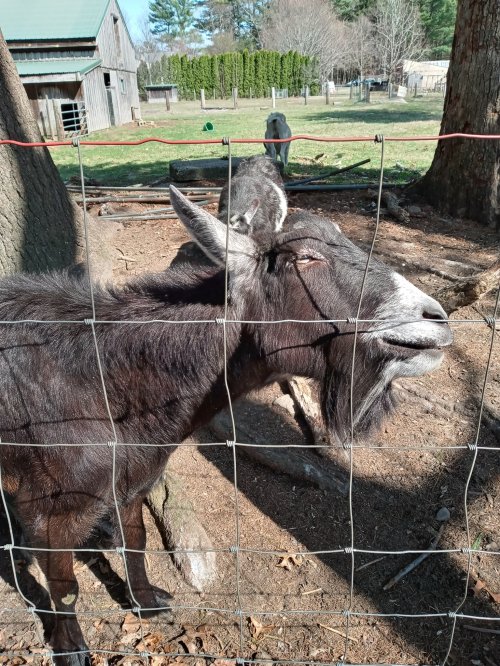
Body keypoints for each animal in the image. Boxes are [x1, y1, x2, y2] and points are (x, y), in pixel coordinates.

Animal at [0, 188, 452, 665]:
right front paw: (71, 650)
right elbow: (65, 586)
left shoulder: (136, 478)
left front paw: (147, 602)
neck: (105, 377)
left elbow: (136, 539)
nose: (436, 318)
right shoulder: (48, 507)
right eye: (304, 258)